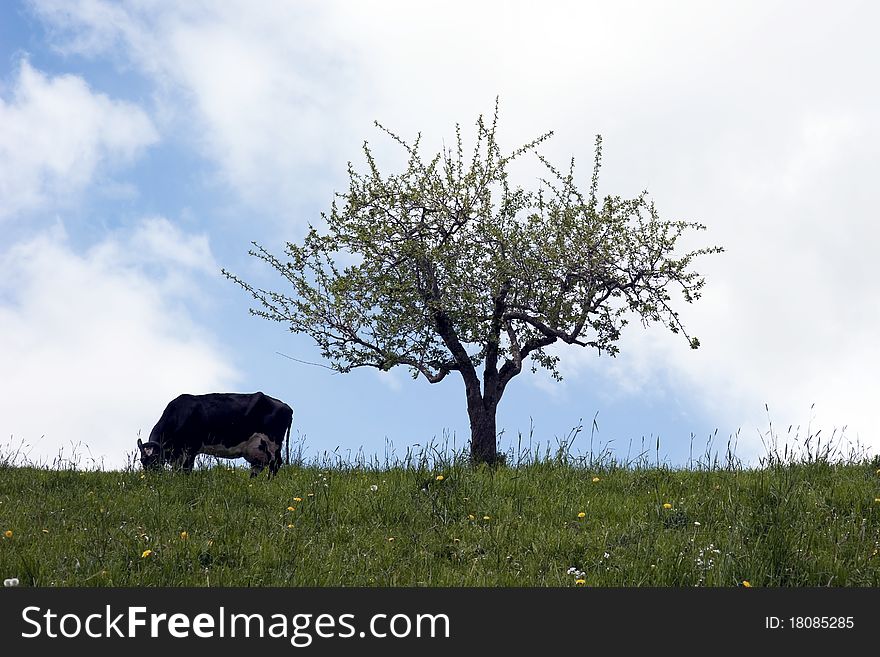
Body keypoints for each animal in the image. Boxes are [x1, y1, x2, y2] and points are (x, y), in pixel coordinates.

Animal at [138, 390, 294, 476]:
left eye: (156, 459)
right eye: (142, 460)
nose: (151, 480)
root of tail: (286, 406)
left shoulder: (191, 448)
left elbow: (186, 469)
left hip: (272, 443)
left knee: (275, 464)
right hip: (259, 448)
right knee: (259, 466)